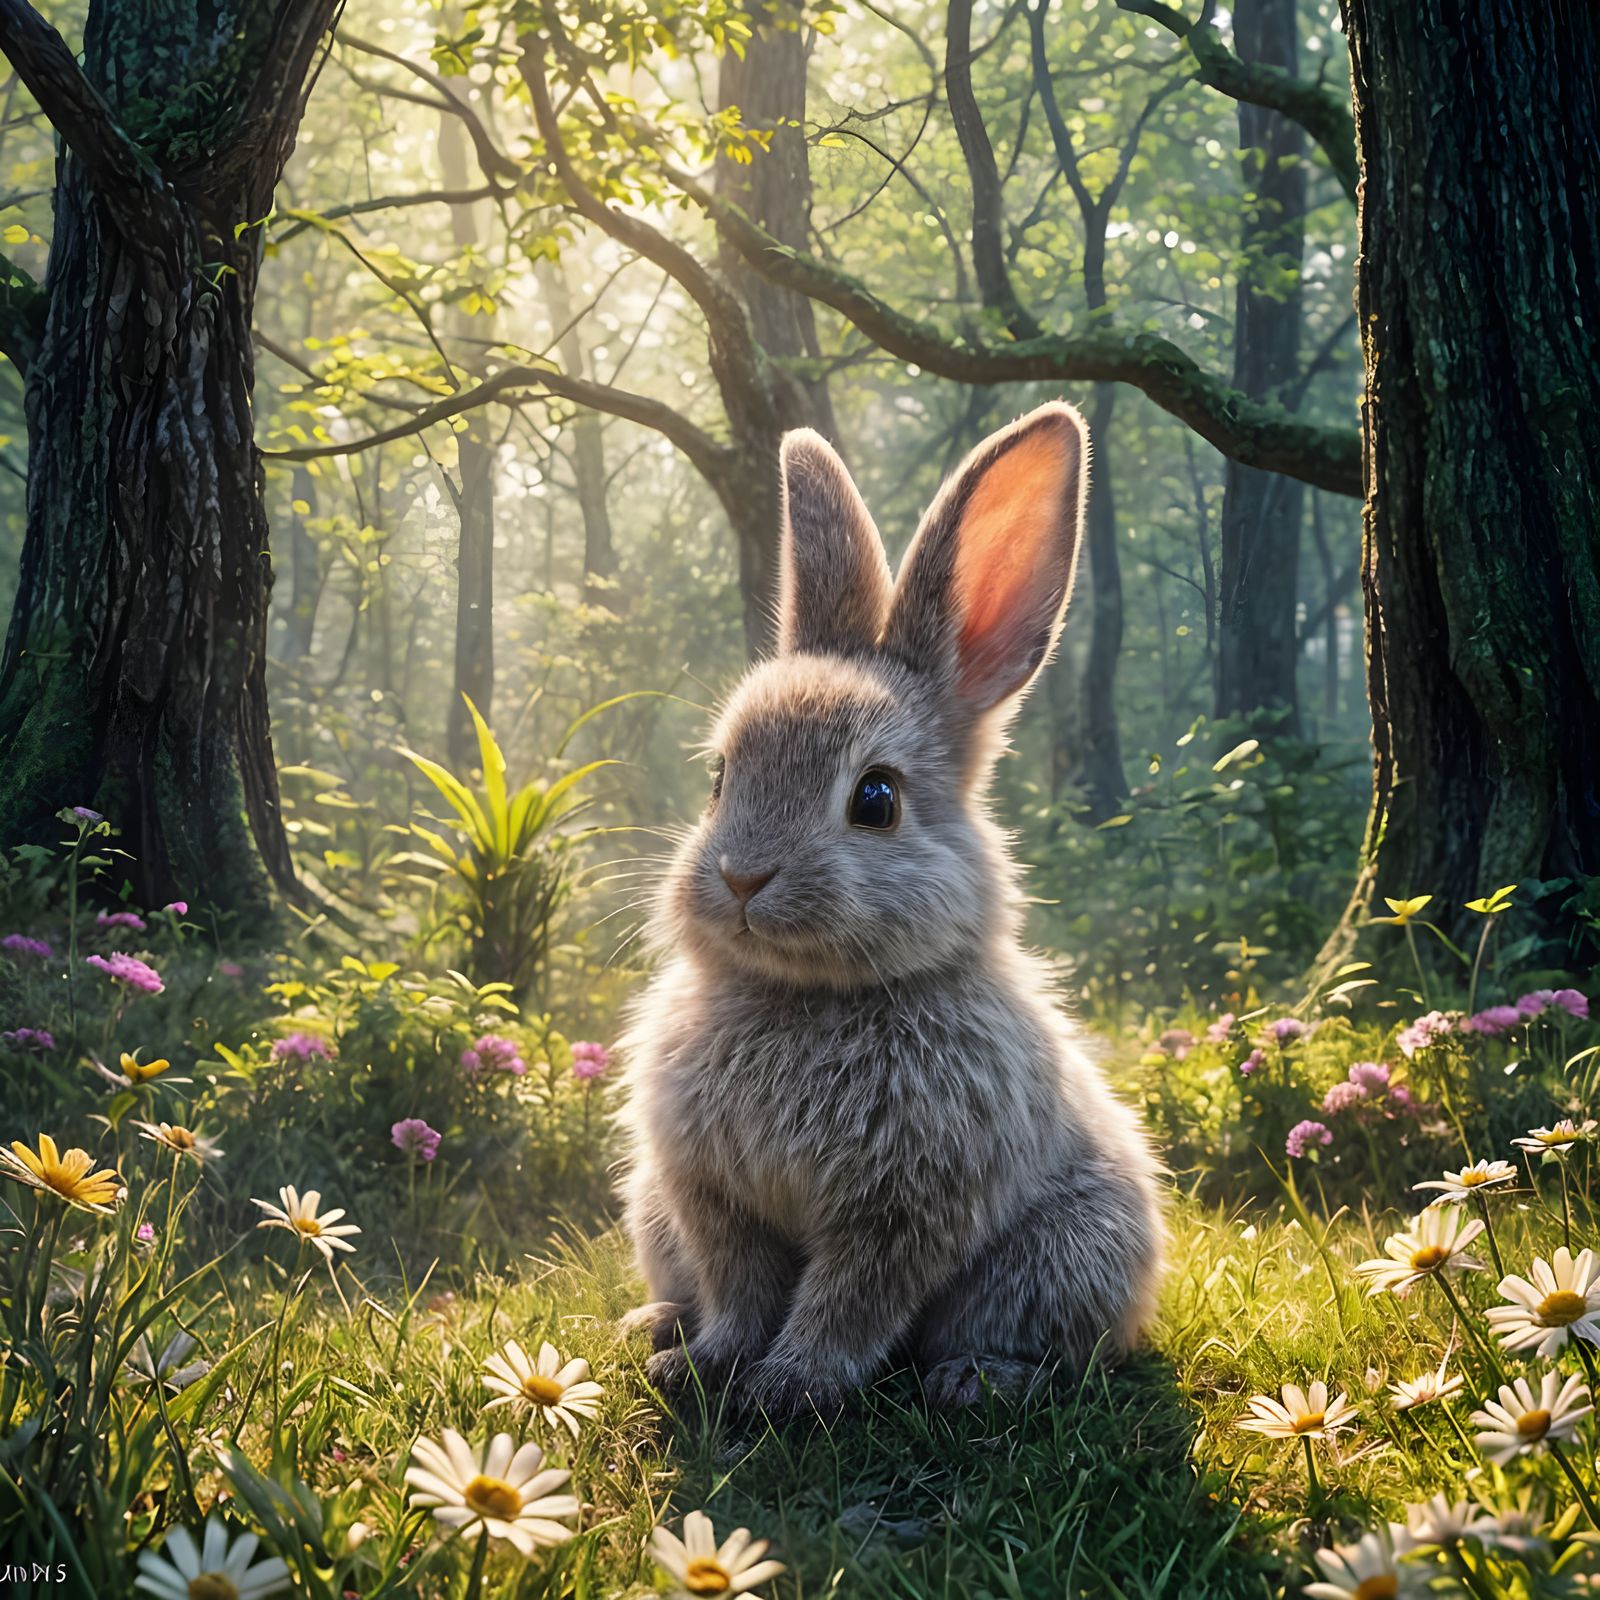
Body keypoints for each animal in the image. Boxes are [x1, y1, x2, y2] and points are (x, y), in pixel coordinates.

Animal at [615, 401, 1165, 1415]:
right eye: (719, 779)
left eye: (875, 799)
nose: (742, 878)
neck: (808, 996)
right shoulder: (710, 1199)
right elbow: (739, 1288)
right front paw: (710, 1364)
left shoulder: (903, 1211)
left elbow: (849, 1303)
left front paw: (788, 1388)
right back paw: (656, 1327)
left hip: (1068, 1249)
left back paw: (976, 1378)